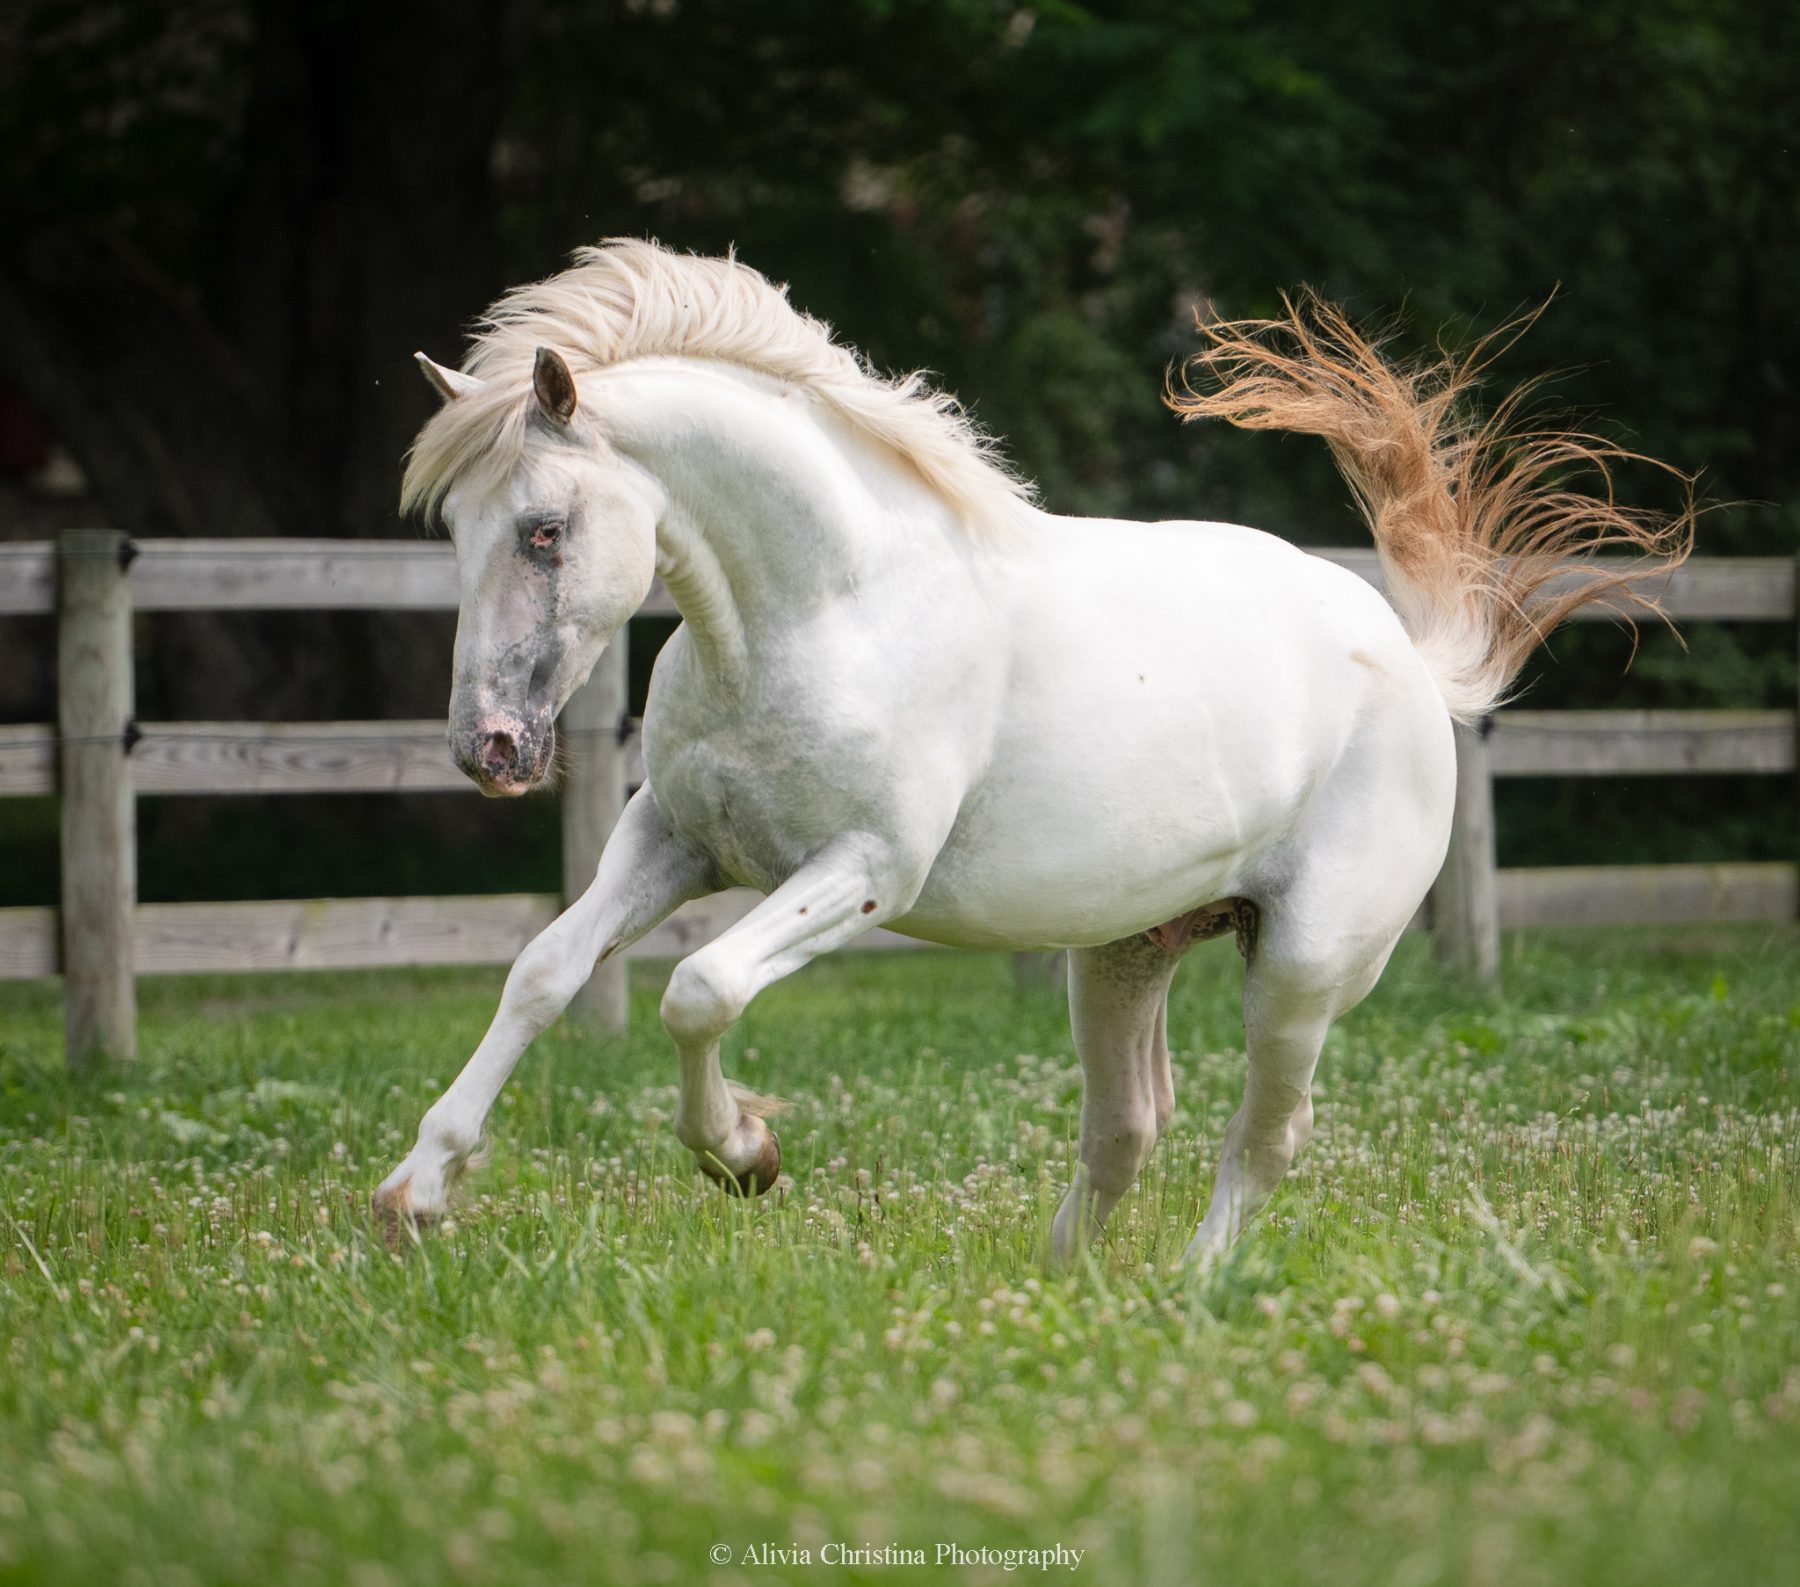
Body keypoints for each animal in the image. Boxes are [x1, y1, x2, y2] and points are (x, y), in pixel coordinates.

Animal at [373, 240, 1690, 1265]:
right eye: (455, 531)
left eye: (545, 530)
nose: (490, 747)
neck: (832, 609)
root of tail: (1413, 660)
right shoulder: (673, 842)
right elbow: (544, 971)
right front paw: (415, 1195)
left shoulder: (863, 872)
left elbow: (700, 990)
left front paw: (744, 1154)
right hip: (1121, 954)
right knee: (1128, 1125)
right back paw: (1063, 1284)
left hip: (1304, 968)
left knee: (1266, 1135)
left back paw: (1192, 1288)